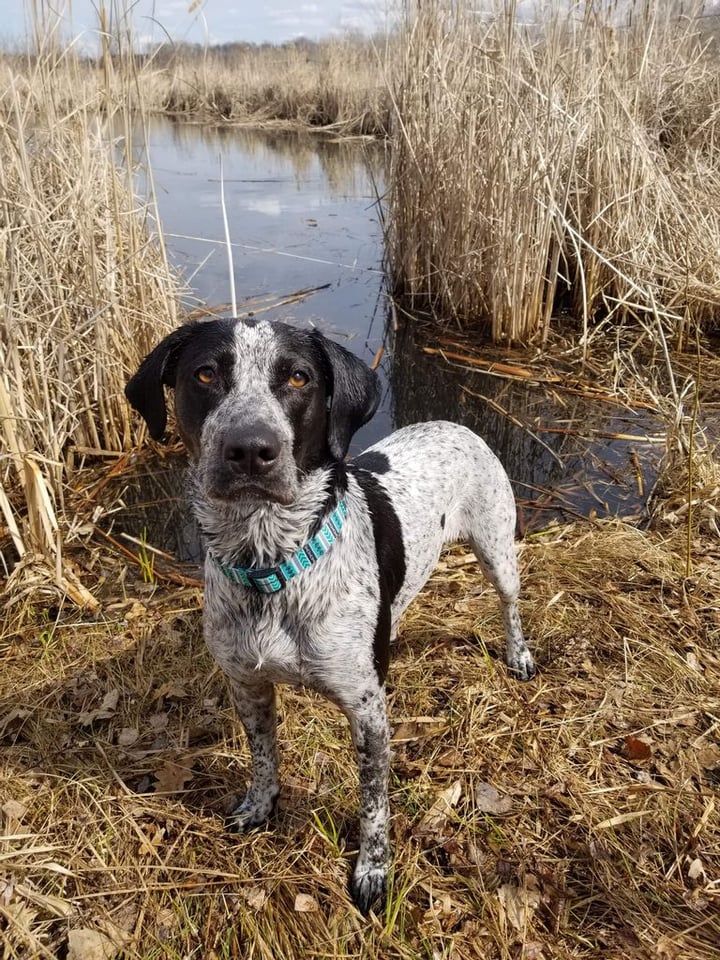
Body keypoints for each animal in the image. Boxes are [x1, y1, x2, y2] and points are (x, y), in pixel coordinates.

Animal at [125, 316, 536, 916]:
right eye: (204, 374)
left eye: (298, 377)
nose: (251, 449)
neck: (270, 561)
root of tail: (454, 421)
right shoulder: (247, 685)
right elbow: (263, 755)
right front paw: (260, 805)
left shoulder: (367, 712)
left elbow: (374, 803)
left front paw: (372, 871)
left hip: (497, 549)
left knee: (510, 604)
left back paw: (519, 654)